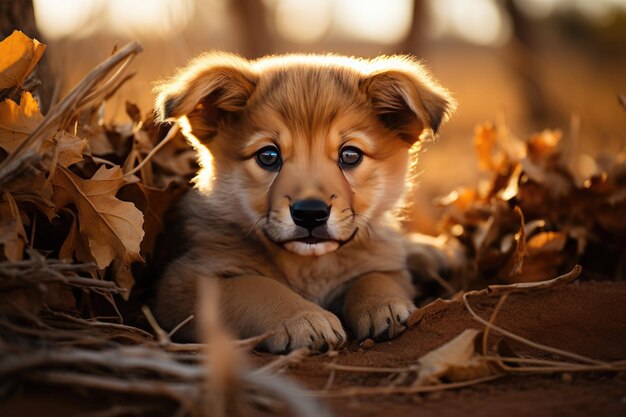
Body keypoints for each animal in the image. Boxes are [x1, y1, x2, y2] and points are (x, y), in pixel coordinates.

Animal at [151, 52, 454, 352]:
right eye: (268, 156)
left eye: (350, 155)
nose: (310, 213)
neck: (310, 266)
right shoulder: (185, 281)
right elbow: (255, 287)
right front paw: (303, 318)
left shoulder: (384, 261)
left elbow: (375, 277)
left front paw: (385, 304)